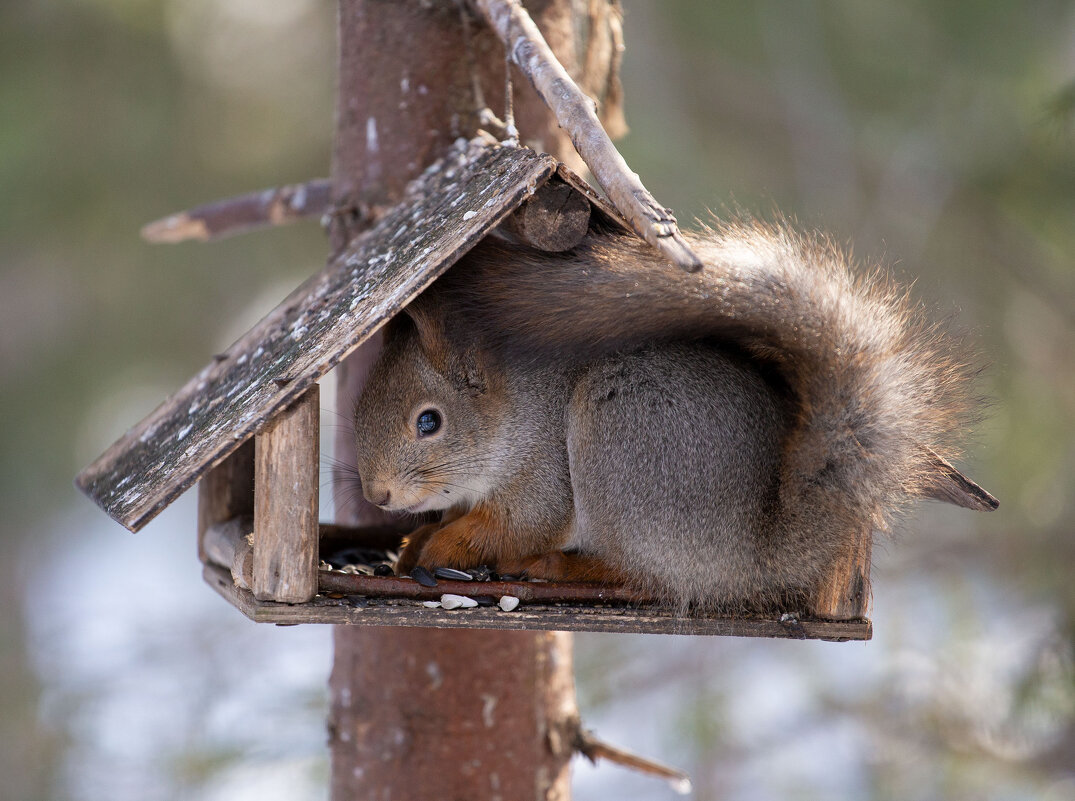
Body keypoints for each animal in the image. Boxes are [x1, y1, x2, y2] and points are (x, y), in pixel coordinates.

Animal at [354, 216, 997, 610]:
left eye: (430, 421)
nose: (376, 496)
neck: (512, 411)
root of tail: (761, 551)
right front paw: (412, 545)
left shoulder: (541, 471)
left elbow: (517, 522)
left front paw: (442, 549)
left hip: (621, 442)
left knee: (639, 575)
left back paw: (554, 567)